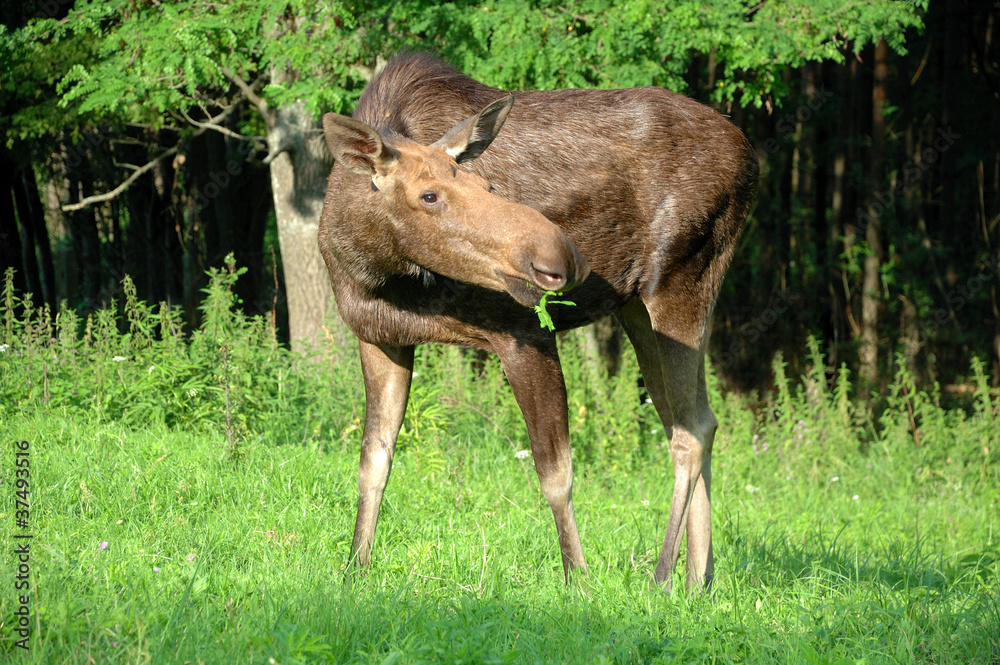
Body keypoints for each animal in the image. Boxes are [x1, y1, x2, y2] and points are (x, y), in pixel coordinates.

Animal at [320, 53, 756, 592]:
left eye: (487, 185)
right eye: (429, 196)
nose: (564, 256)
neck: (373, 271)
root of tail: (750, 157)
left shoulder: (524, 334)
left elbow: (555, 474)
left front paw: (578, 579)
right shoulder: (381, 339)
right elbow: (373, 462)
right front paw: (354, 567)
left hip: (680, 283)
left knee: (688, 432)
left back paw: (663, 576)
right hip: (639, 307)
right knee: (702, 420)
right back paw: (699, 580)